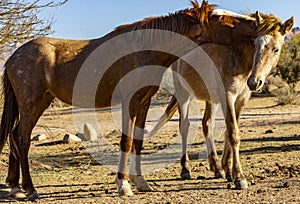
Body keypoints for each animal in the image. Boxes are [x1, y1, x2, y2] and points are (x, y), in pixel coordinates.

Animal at [146, 11, 294, 190]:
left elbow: (228, 132)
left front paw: (228, 170)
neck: (236, 56)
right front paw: (239, 177)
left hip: (211, 100)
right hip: (184, 95)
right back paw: (185, 169)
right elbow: (233, 133)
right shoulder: (228, 96)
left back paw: (216, 168)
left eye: (275, 49)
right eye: (256, 44)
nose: (254, 82)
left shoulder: (240, 100)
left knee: (207, 124)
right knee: (185, 126)